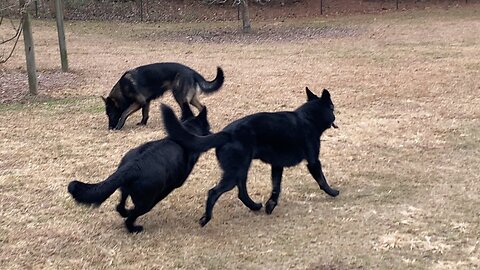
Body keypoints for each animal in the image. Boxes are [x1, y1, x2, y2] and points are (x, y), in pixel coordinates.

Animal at [66, 103, 226, 232]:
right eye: (208, 127)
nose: (213, 134)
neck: (187, 132)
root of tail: (133, 167)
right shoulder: (172, 185)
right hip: (146, 201)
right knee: (131, 216)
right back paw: (134, 228)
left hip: (126, 188)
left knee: (120, 206)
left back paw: (125, 212)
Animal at [162, 87, 342, 226]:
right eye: (332, 107)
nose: (335, 117)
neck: (309, 118)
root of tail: (226, 134)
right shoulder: (313, 161)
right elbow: (321, 180)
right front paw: (333, 192)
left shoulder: (277, 166)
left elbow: (276, 187)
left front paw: (271, 205)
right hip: (235, 172)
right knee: (213, 192)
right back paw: (206, 218)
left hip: (241, 170)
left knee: (241, 193)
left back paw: (254, 206)